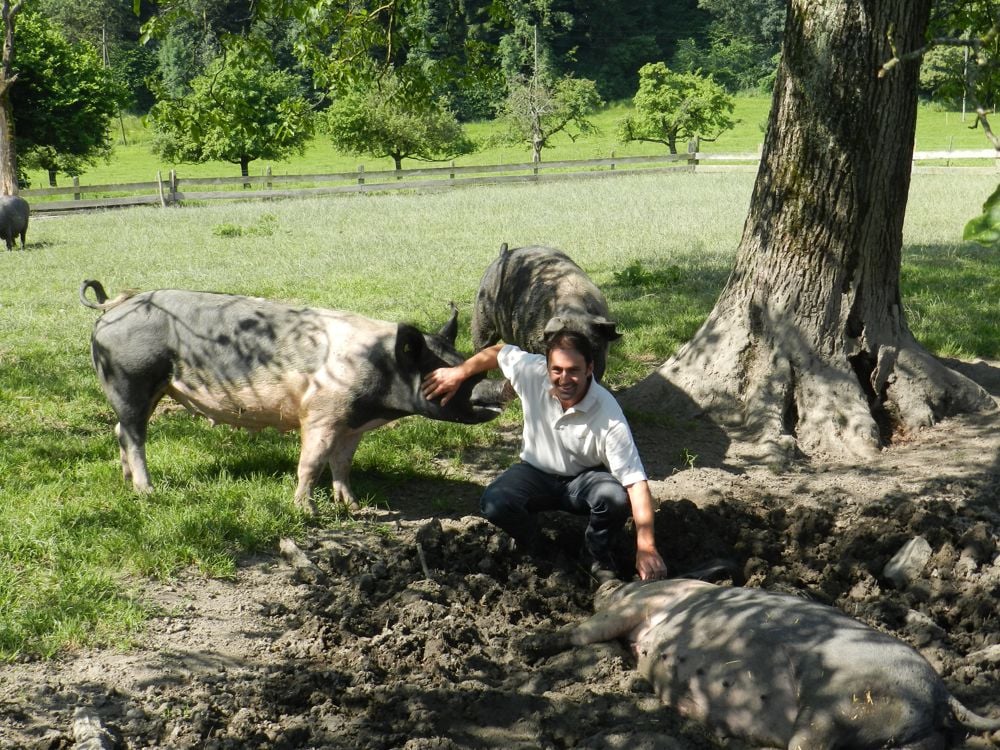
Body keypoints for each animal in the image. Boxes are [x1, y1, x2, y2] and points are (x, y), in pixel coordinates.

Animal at [79, 280, 504, 516]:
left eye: (459, 357)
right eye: (441, 374)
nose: (494, 388)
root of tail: (114, 306)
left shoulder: (352, 425)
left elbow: (342, 464)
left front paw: (354, 506)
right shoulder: (321, 413)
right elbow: (311, 463)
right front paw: (307, 511)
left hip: (145, 389)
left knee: (120, 431)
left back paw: (126, 481)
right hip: (131, 379)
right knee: (134, 435)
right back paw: (147, 491)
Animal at [544, 580, 1000, 748]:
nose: (603, 585)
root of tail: (941, 694)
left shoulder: (639, 603)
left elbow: (587, 630)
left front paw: (543, 640)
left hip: (835, 708)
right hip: (910, 740)